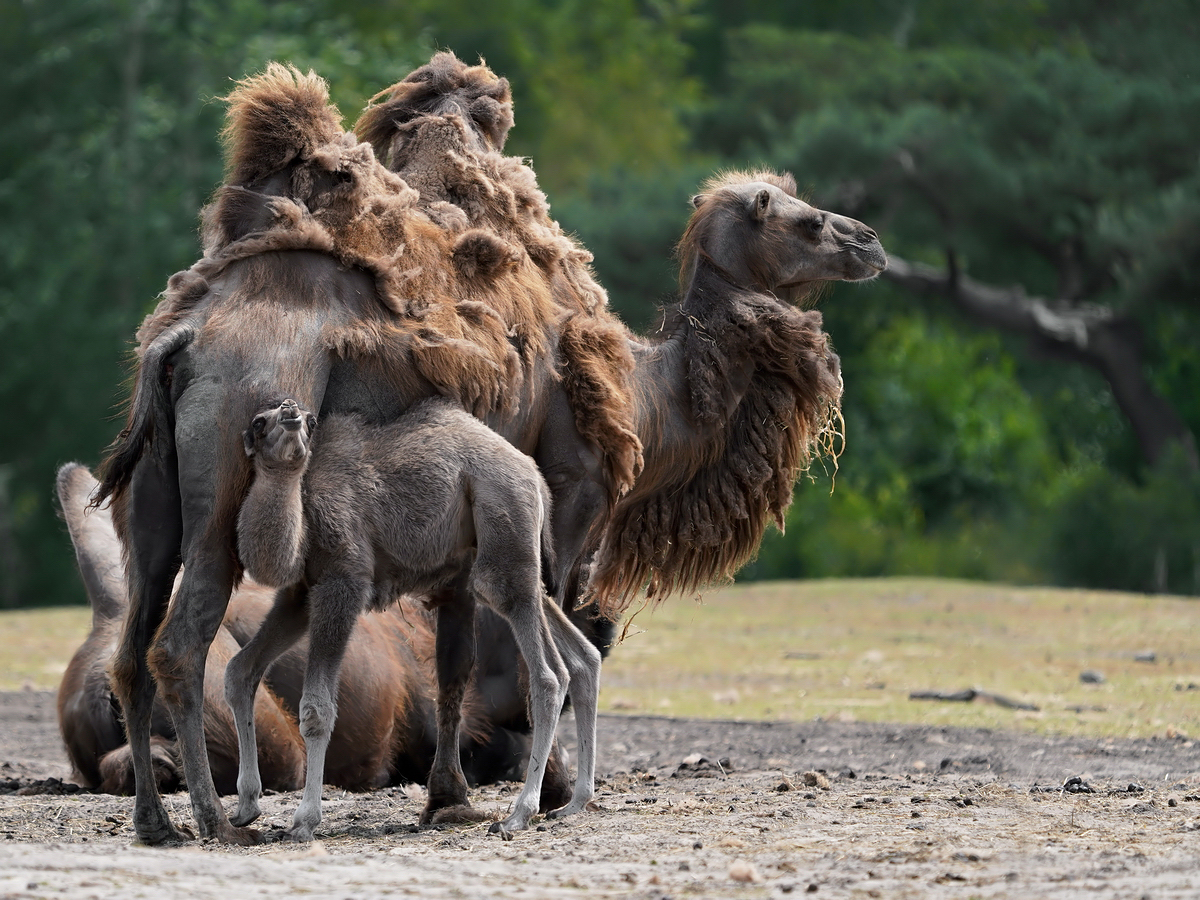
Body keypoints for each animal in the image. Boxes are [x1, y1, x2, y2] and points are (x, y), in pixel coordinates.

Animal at [226, 398, 600, 844]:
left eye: (308, 421)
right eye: (258, 422)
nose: (290, 410)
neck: (302, 517)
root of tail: (533, 475)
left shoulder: (344, 581)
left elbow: (316, 709)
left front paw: (304, 820)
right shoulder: (298, 596)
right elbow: (240, 671)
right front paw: (246, 806)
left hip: (502, 527)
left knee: (547, 673)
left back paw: (518, 814)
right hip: (511, 551)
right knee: (582, 655)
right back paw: (574, 803)